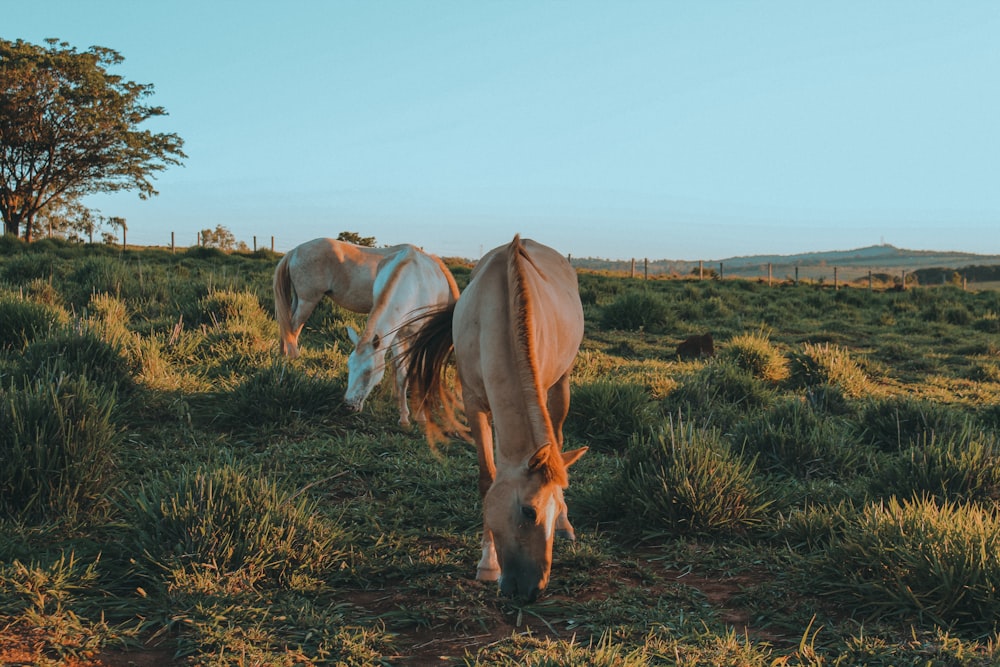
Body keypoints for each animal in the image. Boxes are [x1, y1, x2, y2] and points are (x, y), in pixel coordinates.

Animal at [274, 237, 460, 426]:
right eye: (349, 366)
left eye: (368, 372)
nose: (348, 405)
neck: (414, 287)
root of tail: (295, 251)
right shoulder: (397, 336)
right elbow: (402, 372)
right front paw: (405, 415)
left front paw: (416, 414)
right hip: (307, 301)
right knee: (292, 329)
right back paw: (291, 359)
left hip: (301, 300)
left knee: (288, 326)